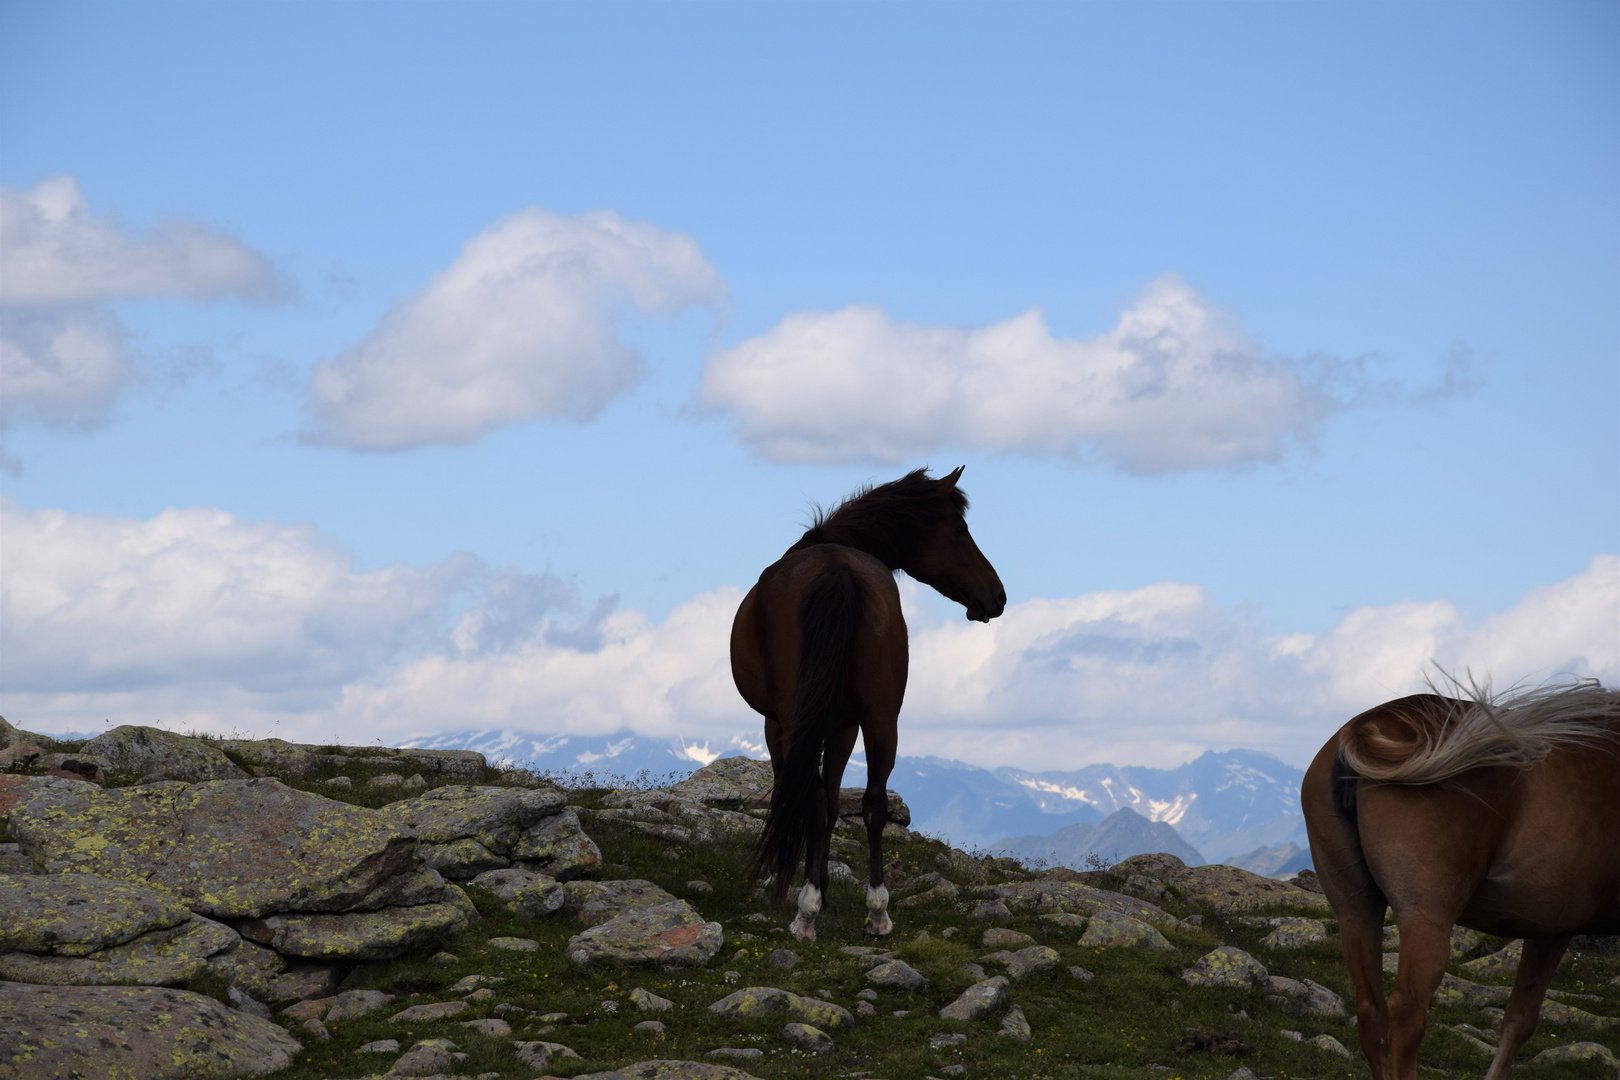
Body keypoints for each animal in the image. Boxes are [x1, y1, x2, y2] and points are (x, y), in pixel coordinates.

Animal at [732, 469, 997, 939]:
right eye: (961, 529)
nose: (998, 596)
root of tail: (837, 570)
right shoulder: (844, 725)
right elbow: (836, 803)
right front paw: (819, 885)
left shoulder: (777, 723)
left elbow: (795, 795)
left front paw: (788, 881)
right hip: (881, 719)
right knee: (874, 803)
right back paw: (877, 911)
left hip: (799, 719)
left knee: (812, 796)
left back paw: (805, 913)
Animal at [1302, 680, 1620, 1080]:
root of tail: (1365, 724)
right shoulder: (1554, 930)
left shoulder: (1550, 929)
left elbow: (1518, 1019)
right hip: (1427, 919)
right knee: (1407, 1012)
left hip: (1354, 912)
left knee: (1371, 1012)